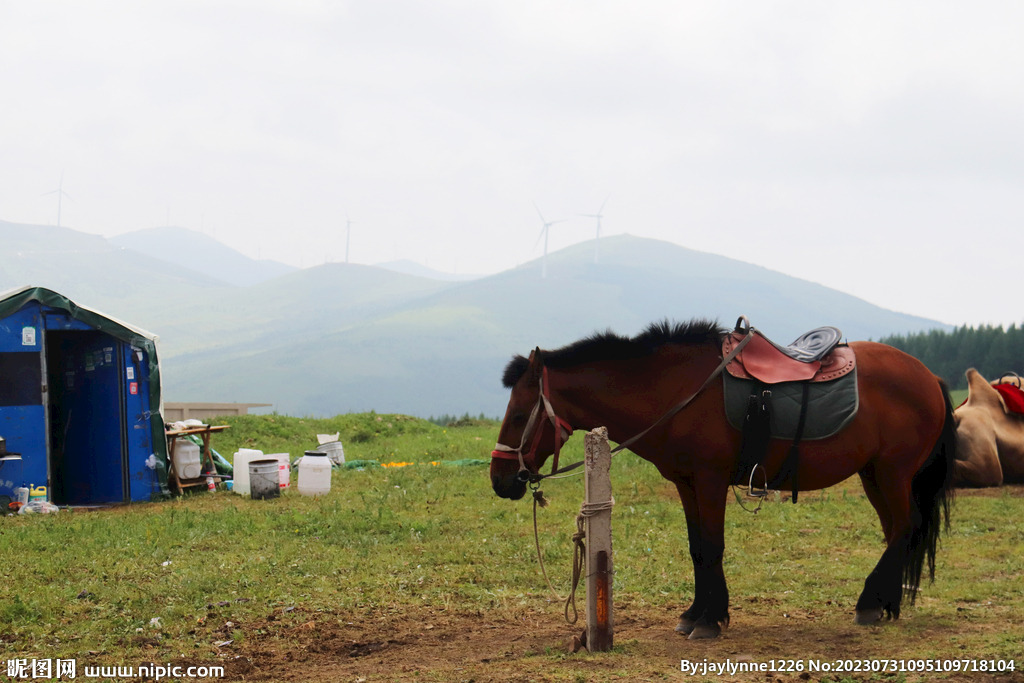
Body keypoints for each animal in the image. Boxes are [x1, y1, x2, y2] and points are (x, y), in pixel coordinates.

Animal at [491, 321, 954, 643]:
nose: (500, 480)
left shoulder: (710, 479)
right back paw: (884, 604)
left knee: (905, 526)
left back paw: (870, 603)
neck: (677, 389)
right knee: (896, 531)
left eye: (519, 414)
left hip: (893, 472)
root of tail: (929, 377)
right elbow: (697, 548)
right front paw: (696, 613)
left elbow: (712, 546)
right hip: (873, 473)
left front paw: (711, 621)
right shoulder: (686, 483)